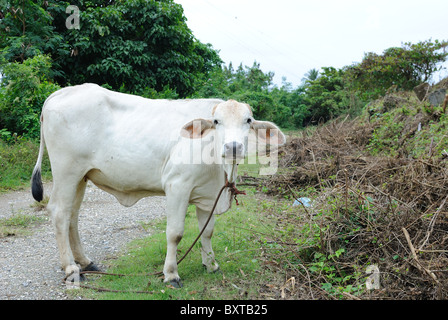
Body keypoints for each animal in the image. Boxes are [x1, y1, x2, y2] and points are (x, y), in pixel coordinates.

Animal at [30, 83, 288, 288]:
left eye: (248, 120)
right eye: (216, 121)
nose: (233, 147)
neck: (218, 164)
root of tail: (60, 93)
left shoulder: (209, 195)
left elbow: (207, 231)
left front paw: (211, 264)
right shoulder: (177, 185)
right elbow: (175, 233)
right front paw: (171, 274)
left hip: (81, 177)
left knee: (72, 216)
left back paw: (85, 262)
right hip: (66, 171)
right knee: (60, 213)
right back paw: (71, 269)